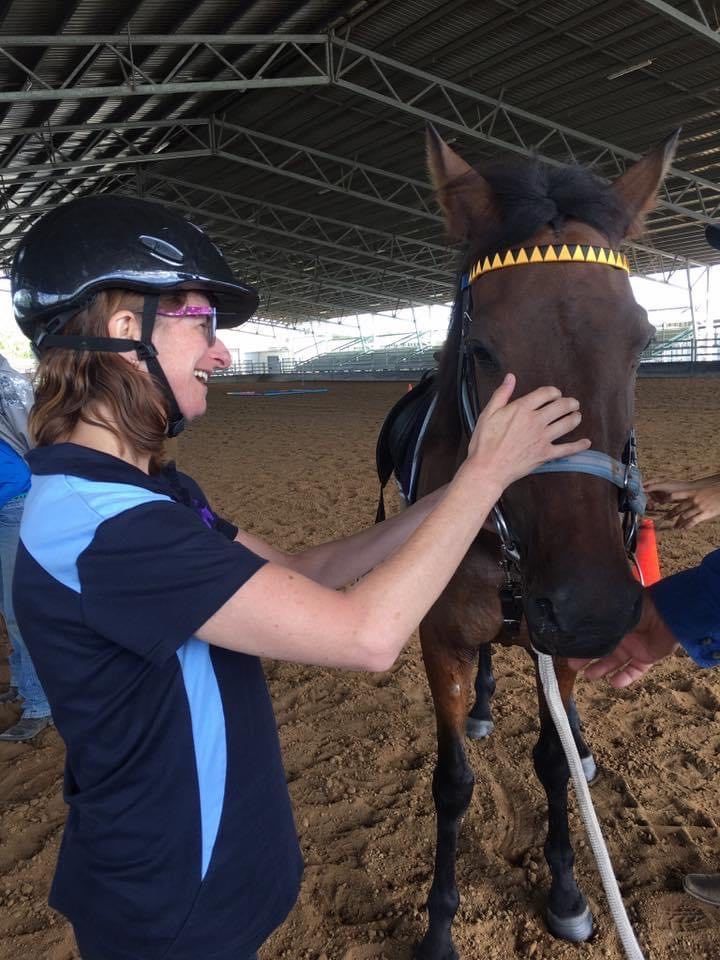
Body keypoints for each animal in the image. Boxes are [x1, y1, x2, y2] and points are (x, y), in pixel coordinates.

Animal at [375, 126, 677, 959]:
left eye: (642, 340)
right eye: (482, 349)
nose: (592, 608)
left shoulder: (560, 651)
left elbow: (552, 763)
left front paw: (569, 892)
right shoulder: (441, 639)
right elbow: (452, 783)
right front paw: (440, 922)